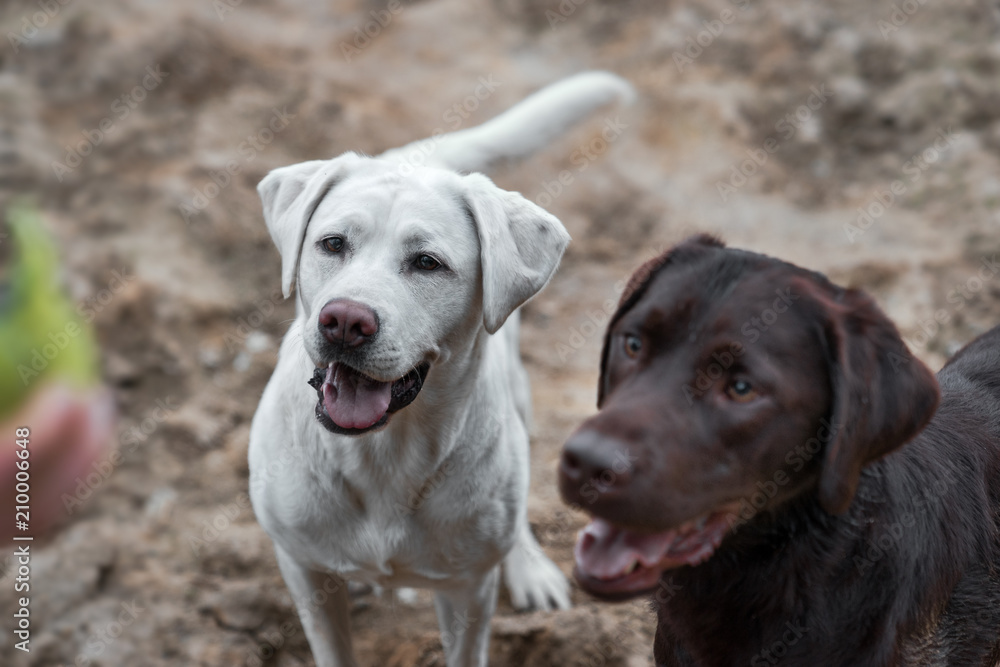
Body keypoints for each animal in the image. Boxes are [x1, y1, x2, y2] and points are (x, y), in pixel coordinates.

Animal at [246, 70, 628, 664]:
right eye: (332, 243)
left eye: (427, 263)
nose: (345, 321)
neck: (382, 453)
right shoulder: (304, 571)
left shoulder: (467, 591)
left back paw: (528, 566)